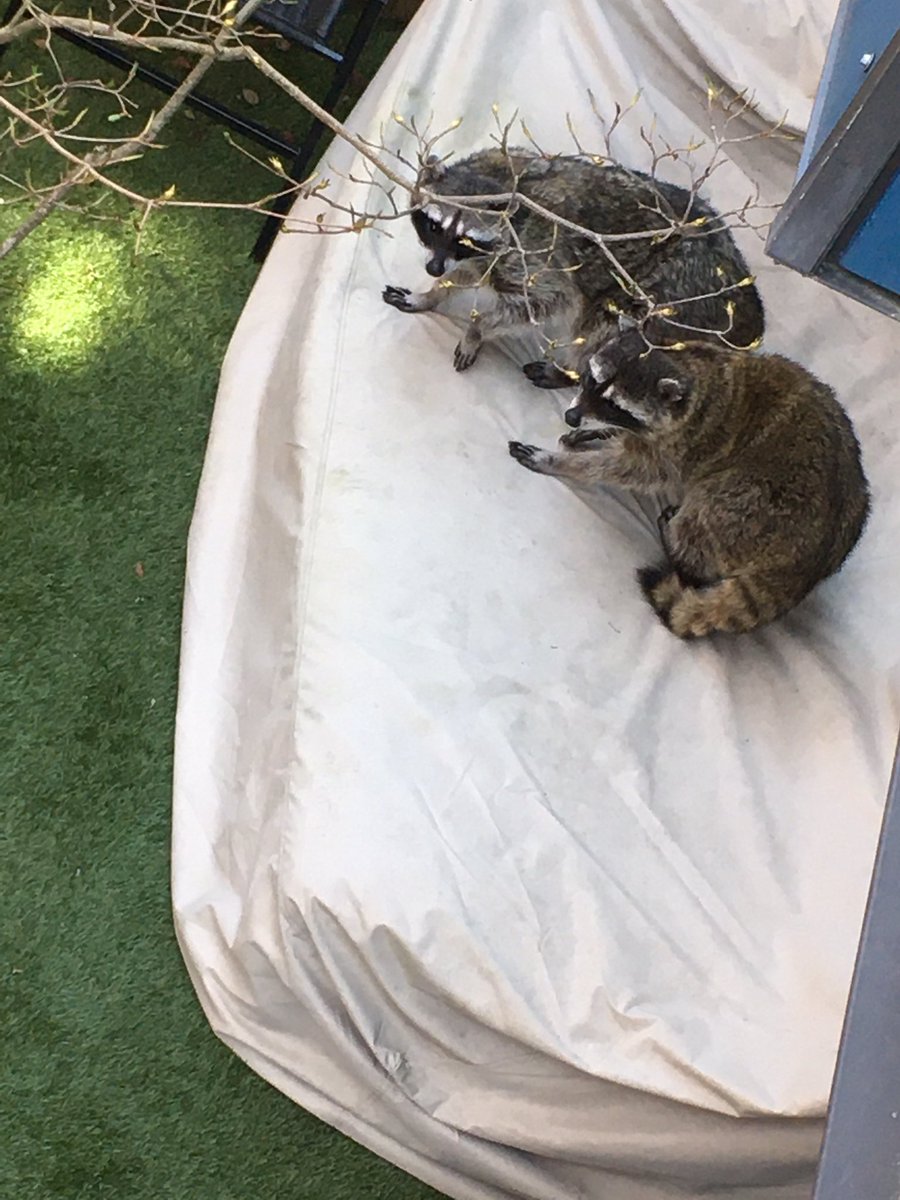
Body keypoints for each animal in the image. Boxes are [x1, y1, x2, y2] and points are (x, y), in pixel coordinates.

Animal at [382, 147, 765, 376]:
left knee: (603, 326)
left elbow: (548, 301)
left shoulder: (534, 255)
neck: (497, 179)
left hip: (673, 291)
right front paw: (431, 293)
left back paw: (574, 373)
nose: (432, 268)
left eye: (463, 238)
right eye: (434, 225)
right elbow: (464, 273)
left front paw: (477, 330)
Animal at [508, 320, 869, 638]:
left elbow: (632, 469)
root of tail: (809, 565)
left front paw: (565, 463)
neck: (687, 363)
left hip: (760, 505)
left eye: (614, 405)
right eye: (590, 379)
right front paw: (597, 433)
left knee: (707, 511)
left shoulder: (686, 443)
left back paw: (677, 544)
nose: (572, 416)